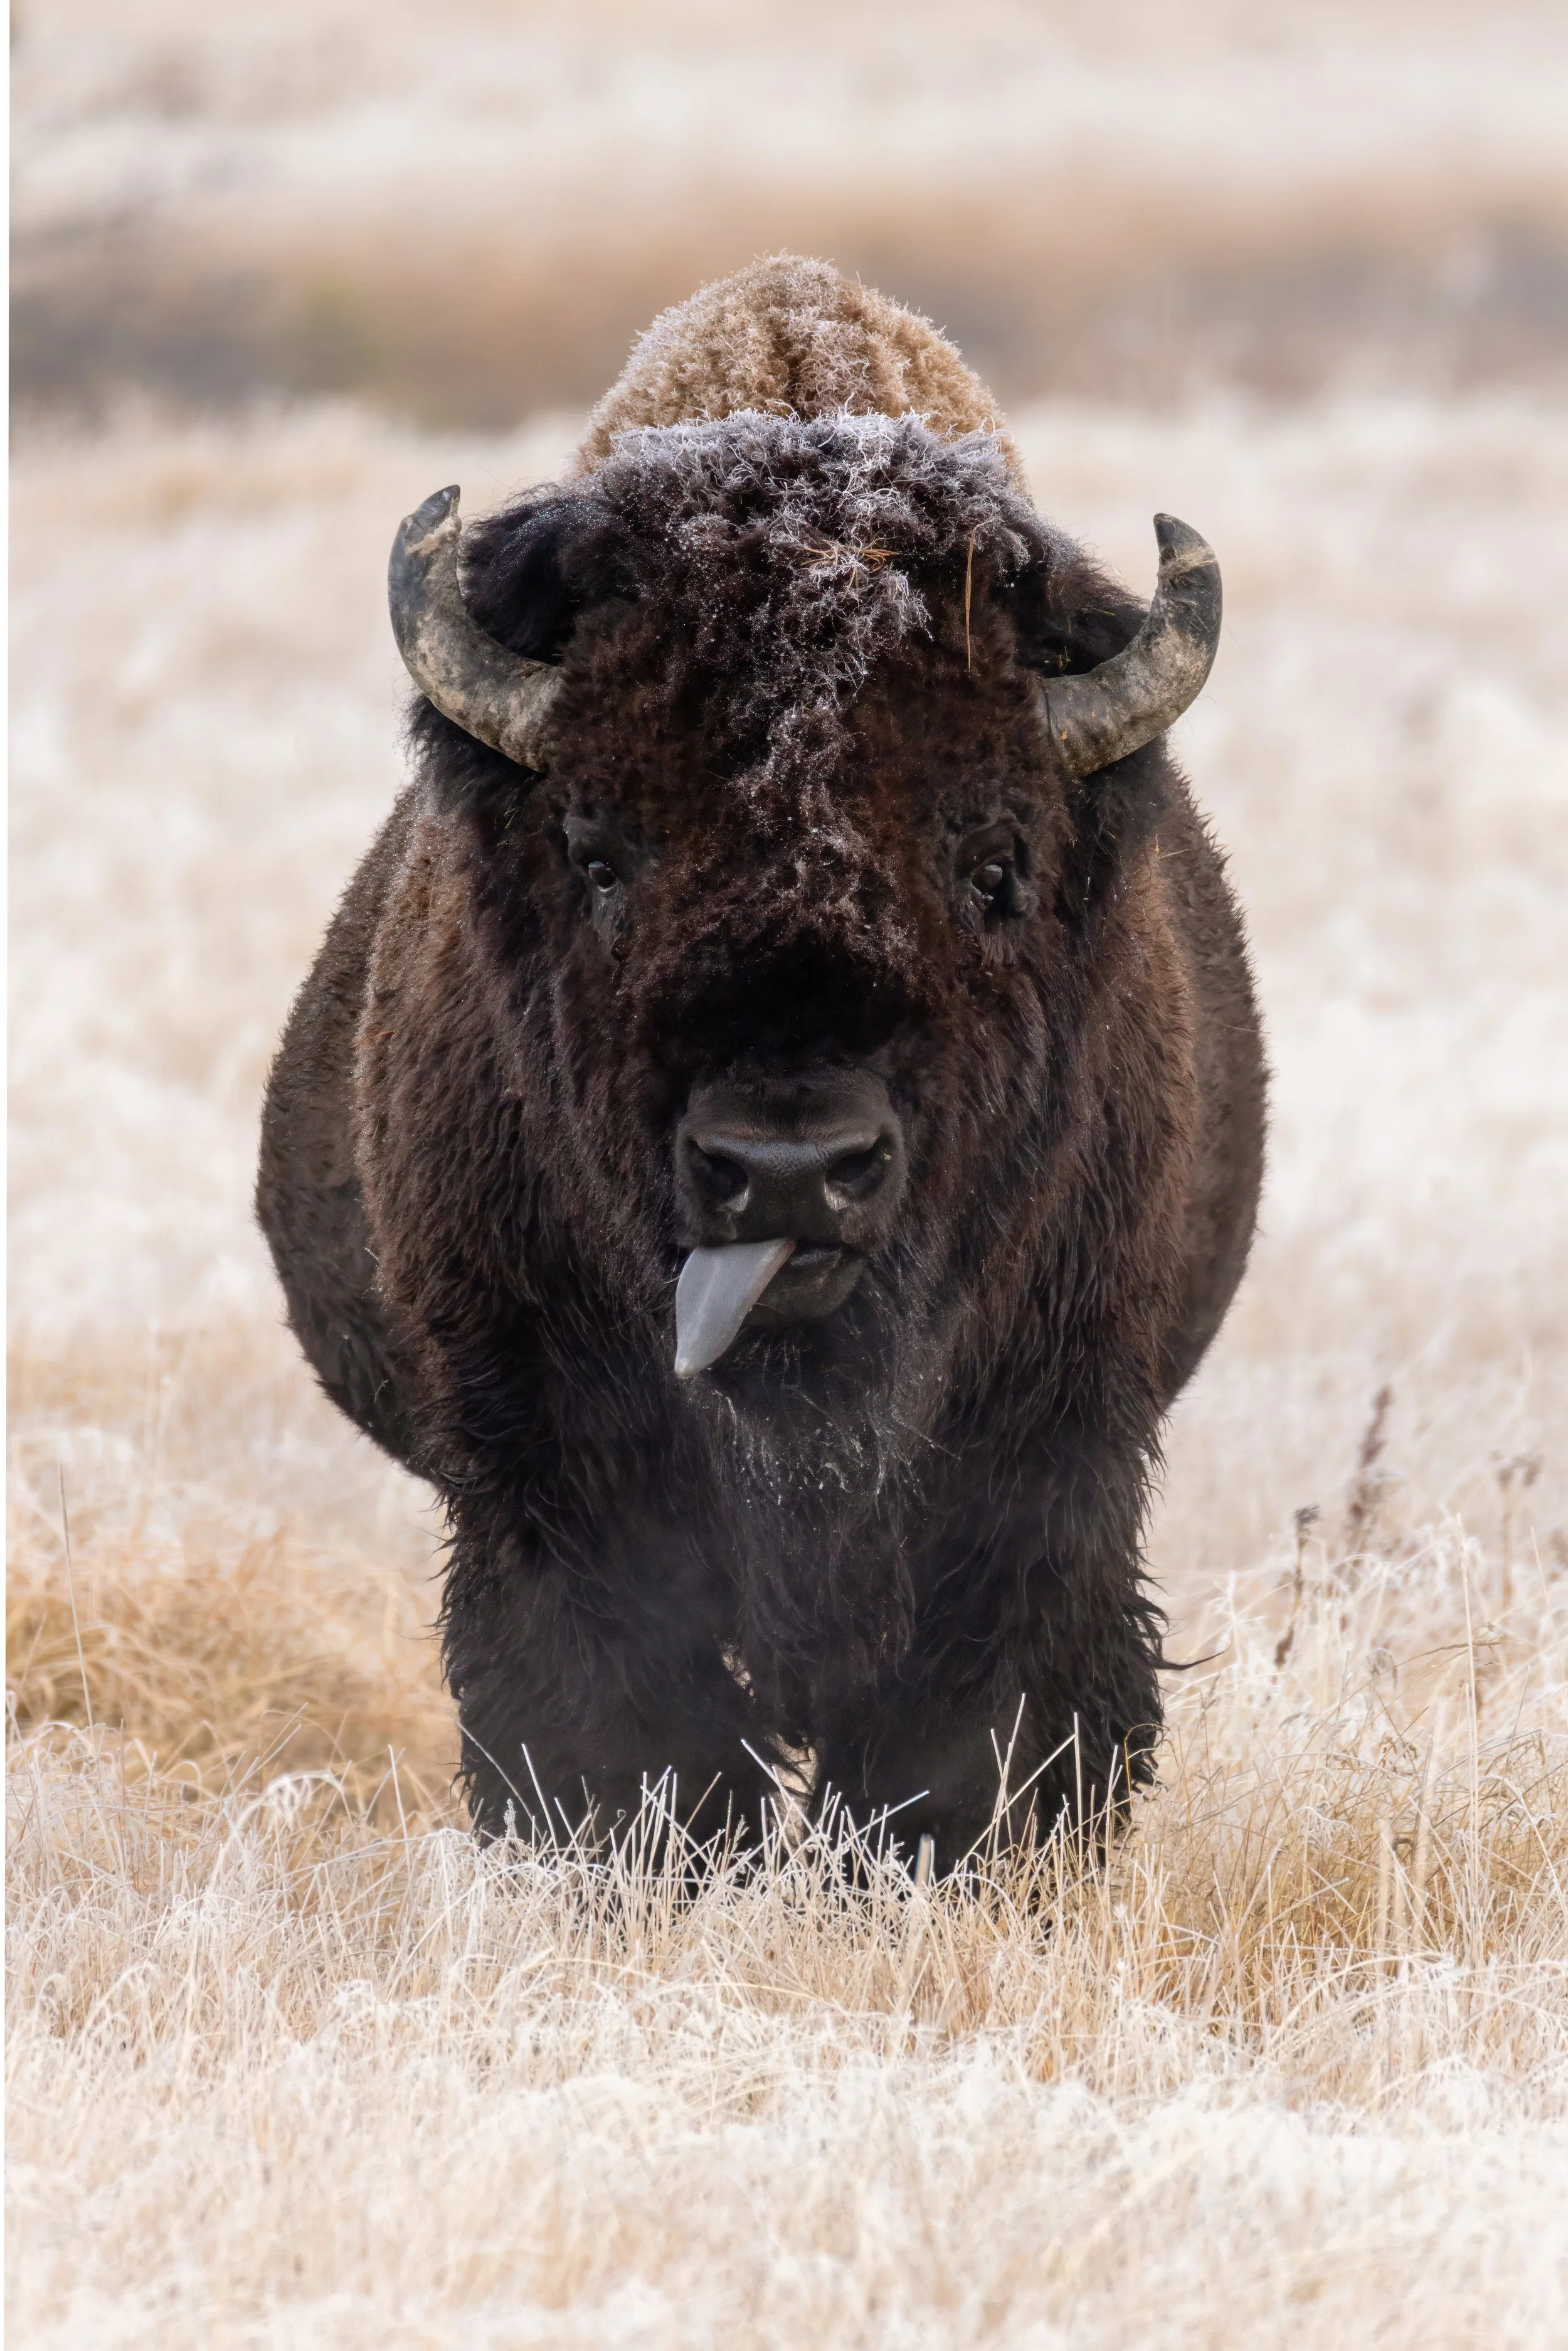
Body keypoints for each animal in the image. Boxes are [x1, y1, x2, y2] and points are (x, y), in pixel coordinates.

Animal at [258, 258, 1265, 1860]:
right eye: (598, 852)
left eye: (993, 863)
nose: (788, 1169)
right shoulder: (548, 1458)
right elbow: (617, 1724)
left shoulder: (1051, 1453)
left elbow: (981, 1723)